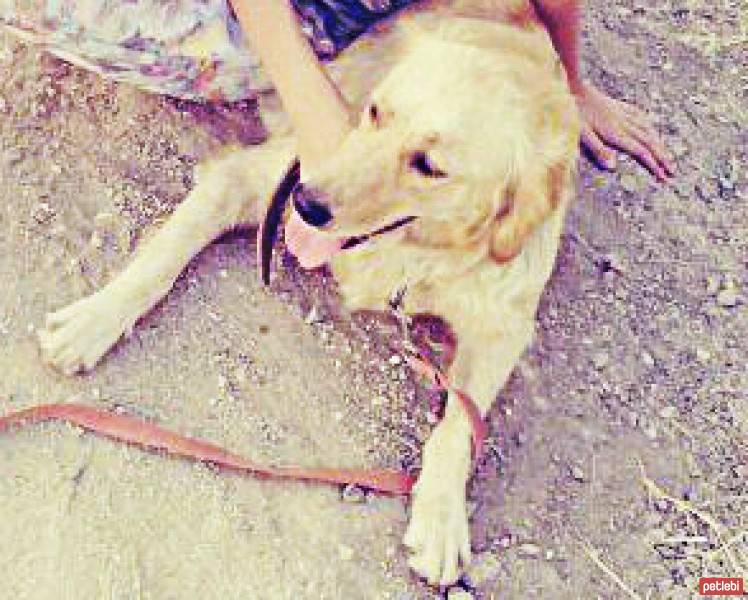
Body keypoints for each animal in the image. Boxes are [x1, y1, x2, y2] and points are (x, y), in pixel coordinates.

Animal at [38, 0, 580, 584]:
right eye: (375, 112)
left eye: (429, 166)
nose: (306, 202)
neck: (411, 253)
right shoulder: (251, 174)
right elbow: (157, 261)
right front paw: (92, 320)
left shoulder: (505, 323)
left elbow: (460, 424)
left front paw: (440, 516)